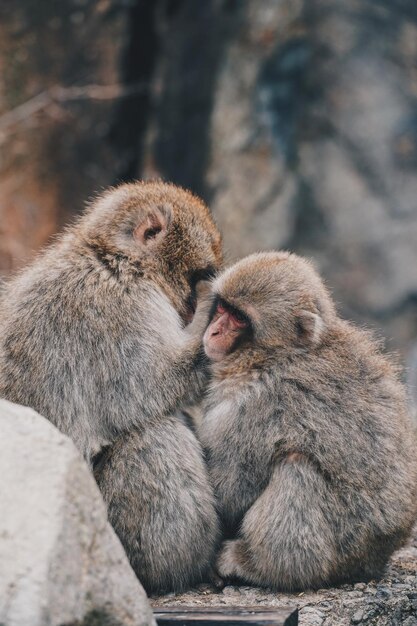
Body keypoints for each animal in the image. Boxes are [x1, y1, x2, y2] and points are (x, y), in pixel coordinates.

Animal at [0, 180, 221, 588]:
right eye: (198, 276)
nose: (189, 310)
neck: (112, 258)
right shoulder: (122, 309)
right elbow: (150, 388)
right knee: (153, 434)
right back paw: (183, 566)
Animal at [197, 250, 416, 588]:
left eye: (239, 318)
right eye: (223, 308)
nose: (214, 331)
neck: (276, 355)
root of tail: (376, 557)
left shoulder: (252, 405)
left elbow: (230, 491)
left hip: (344, 544)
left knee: (296, 467)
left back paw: (264, 566)